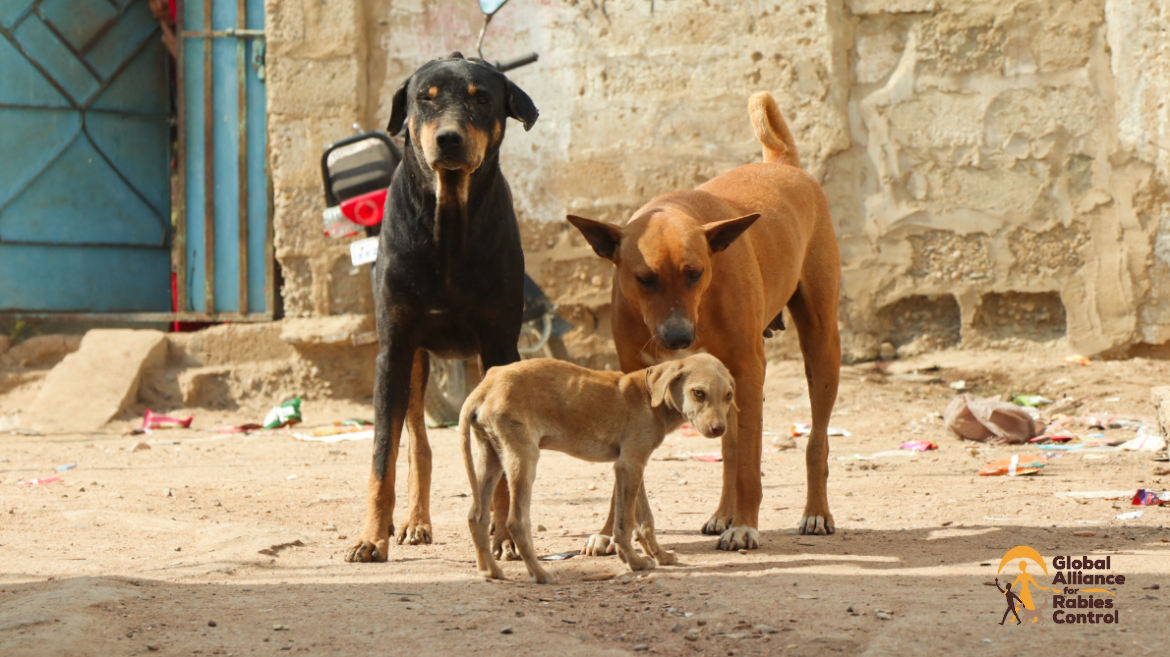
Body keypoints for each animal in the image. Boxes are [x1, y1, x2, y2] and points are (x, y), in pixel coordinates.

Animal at [341, 52, 535, 563]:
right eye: (423, 99)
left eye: (482, 98)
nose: (448, 138)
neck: (447, 222)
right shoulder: (394, 349)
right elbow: (383, 453)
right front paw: (370, 537)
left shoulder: (499, 344)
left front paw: (506, 537)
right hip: (414, 363)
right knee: (418, 445)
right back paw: (412, 522)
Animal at [456, 353, 730, 577]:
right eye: (698, 393)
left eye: (728, 396)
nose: (720, 430)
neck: (650, 396)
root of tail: (485, 385)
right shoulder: (629, 465)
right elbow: (625, 523)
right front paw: (632, 562)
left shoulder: (633, 464)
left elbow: (645, 520)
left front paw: (658, 556)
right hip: (523, 457)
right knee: (515, 521)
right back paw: (540, 574)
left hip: (491, 457)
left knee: (475, 516)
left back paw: (490, 571)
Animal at [566, 90, 842, 547]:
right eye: (644, 279)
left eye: (694, 273)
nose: (677, 338)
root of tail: (783, 164)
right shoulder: (636, 376)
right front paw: (608, 532)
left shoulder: (749, 368)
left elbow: (749, 462)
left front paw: (746, 525)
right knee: (729, 444)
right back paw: (723, 513)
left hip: (821, 347)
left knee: (814, 439)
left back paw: (814, 512)